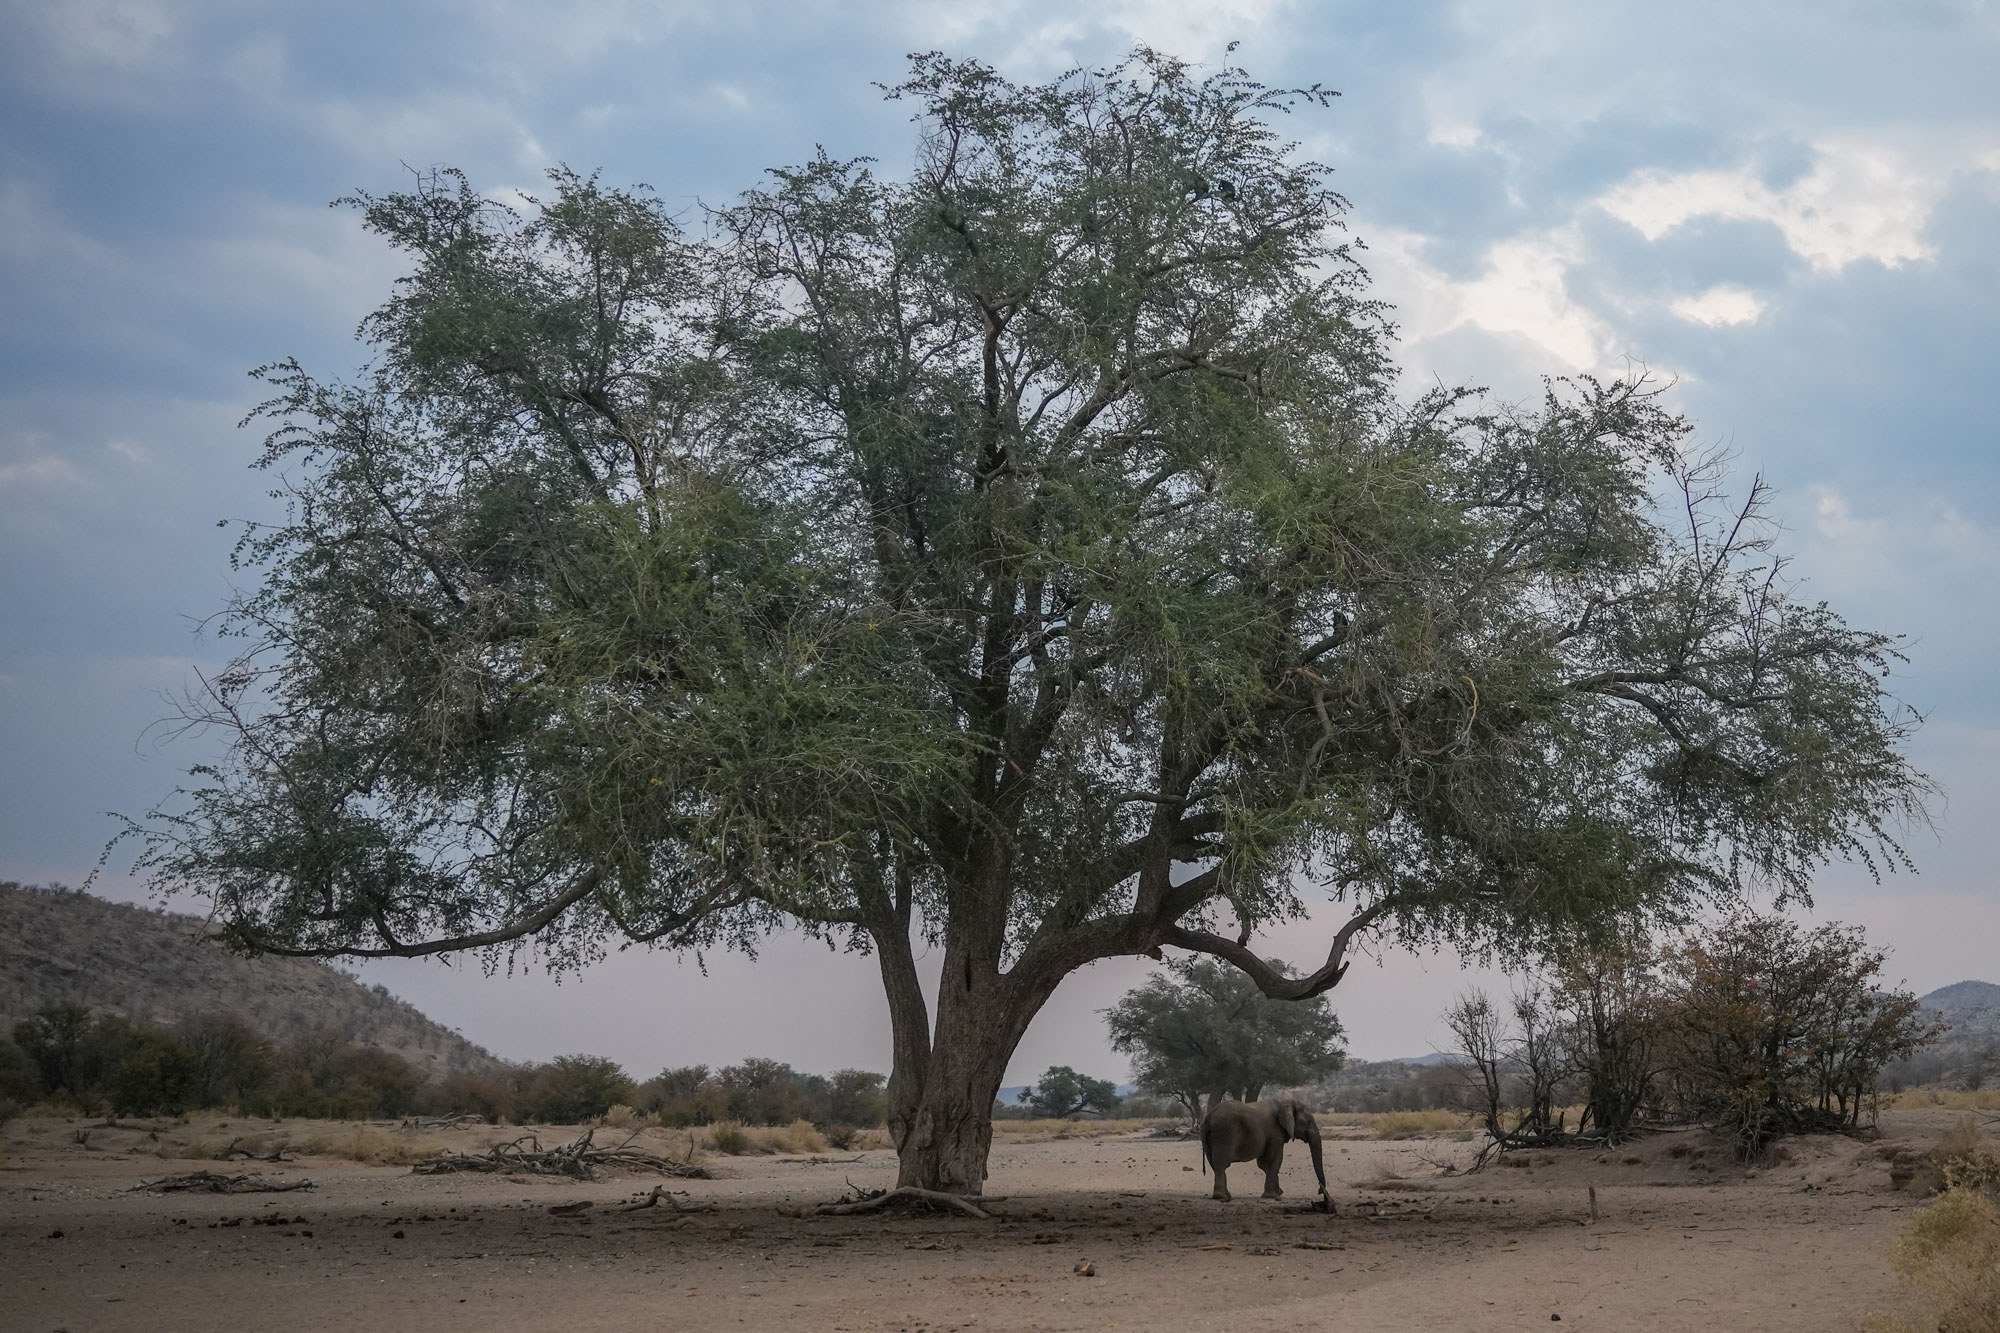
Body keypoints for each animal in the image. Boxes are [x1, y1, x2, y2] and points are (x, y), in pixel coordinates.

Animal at [1200, 1096, 1328, 1200]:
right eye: (1309, 1121)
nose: (1320, 1191)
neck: (1285, 1102)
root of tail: (1207, 1120)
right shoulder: (1275, 1132)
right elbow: (1274, 1159)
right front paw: (1273, 1196)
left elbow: (1263, 1163)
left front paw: (1279, 1192)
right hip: (1224, 1134)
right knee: (1221, 1164)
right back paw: (1221, 1197)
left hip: (1211, 1140)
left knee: (1214, 1164)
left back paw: (1226, 1196)